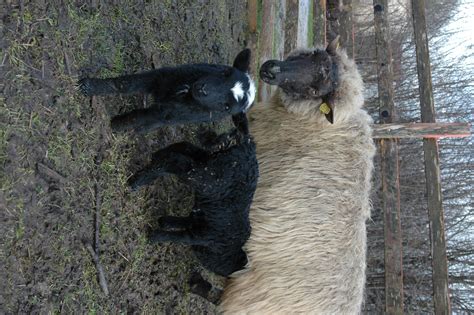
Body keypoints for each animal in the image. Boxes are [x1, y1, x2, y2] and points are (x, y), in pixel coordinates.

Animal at [78, 49, 256, 135]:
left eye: (227, 107)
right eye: (226, 73)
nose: (202, 89)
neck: (185, 92)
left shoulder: (169, 112)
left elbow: (141, 117)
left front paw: (114, 126)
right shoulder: (160, 77)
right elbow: (124, 84)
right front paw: (90, 86)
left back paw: (138, 131)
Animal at [128, 113, 258, 276]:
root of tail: (246, 143)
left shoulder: (197, 220)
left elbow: (181, 222)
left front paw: (163, 222)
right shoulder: (201, 236)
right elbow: (180, 238)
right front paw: (154, 237)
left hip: (205, 162)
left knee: (182, 150)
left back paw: (153, 160)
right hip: (207, 178)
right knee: (177, 161)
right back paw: (137, 181)